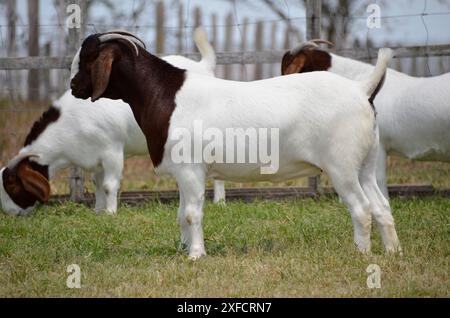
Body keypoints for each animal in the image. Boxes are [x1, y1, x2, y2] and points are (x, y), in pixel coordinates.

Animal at [0, 28, 225, 216]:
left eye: (12, 186)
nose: (11, 213)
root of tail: (203, 66)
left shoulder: (112, 150)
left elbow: (109, 185)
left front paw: (110, 213)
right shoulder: (94, 157)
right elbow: (97, 183)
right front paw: (98, 210)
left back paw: (220, 201)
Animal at [68, 30, 400, 258]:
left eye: (86, 59)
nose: (72, 86)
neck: (165, 94)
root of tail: (361, 89)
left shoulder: (191, 170)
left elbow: (192, 213)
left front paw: (196, 255)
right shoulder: (182, 172)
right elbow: (180, 214)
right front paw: (183, 249)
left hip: (342, 166)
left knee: (361, 208)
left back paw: (362, 254)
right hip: (365, 164)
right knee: (382, 206)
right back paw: (392, 252)